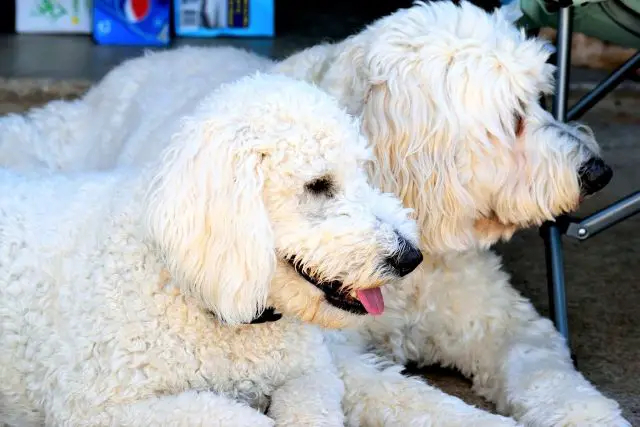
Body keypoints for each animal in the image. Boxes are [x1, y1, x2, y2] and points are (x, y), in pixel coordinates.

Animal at [1, 72, 430, 424]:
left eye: (362, 173)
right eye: (319, 184)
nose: (411, 257)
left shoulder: (309, 373)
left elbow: (314, 404)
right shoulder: (102, 407)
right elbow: (234, 415)